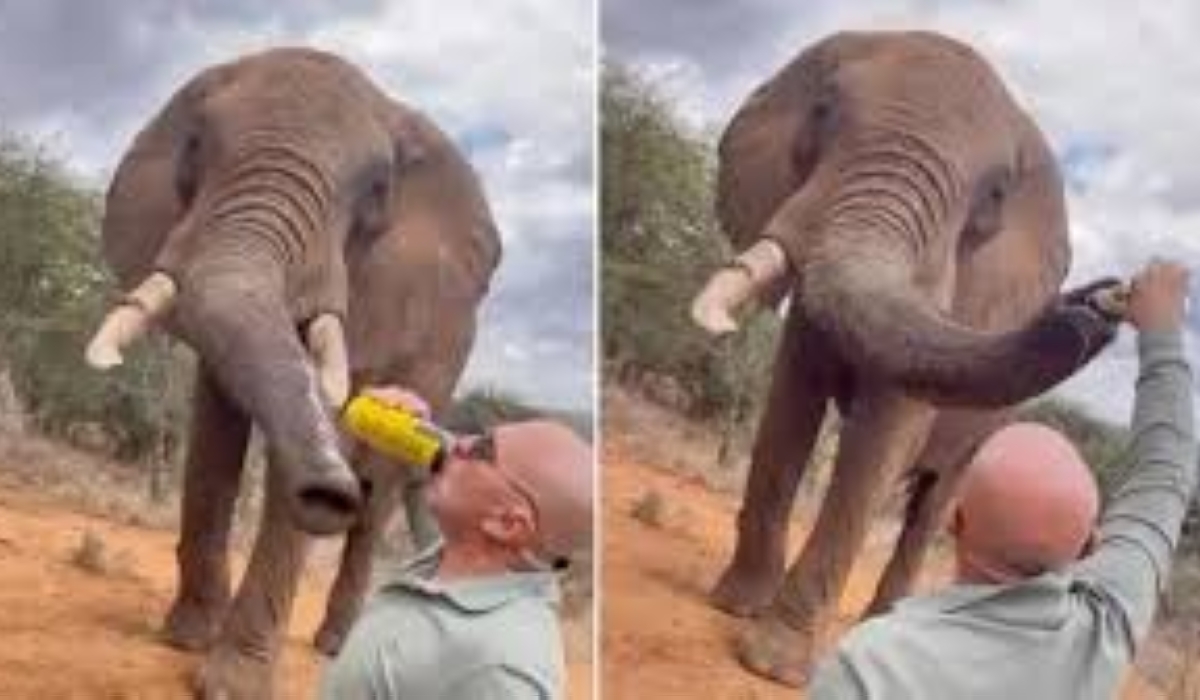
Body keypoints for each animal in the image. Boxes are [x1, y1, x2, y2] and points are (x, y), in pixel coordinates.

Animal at [84, 48, 500, 698]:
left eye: (377, 191)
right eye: (196, 145)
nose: (329, 493)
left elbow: (331, 409)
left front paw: (231, 684)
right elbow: (214, 439)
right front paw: (184, 640)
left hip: (444, 363)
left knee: (378, 499)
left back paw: (334, 644)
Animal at [690, 31, 1121, 686]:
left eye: (995, 194)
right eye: (822, 112)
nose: (1099, 301)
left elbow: (884, 436)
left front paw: (773, 665)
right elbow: (790, 404)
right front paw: (733, 607)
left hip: (988, 433)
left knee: (934, 504)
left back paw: (891, 620)